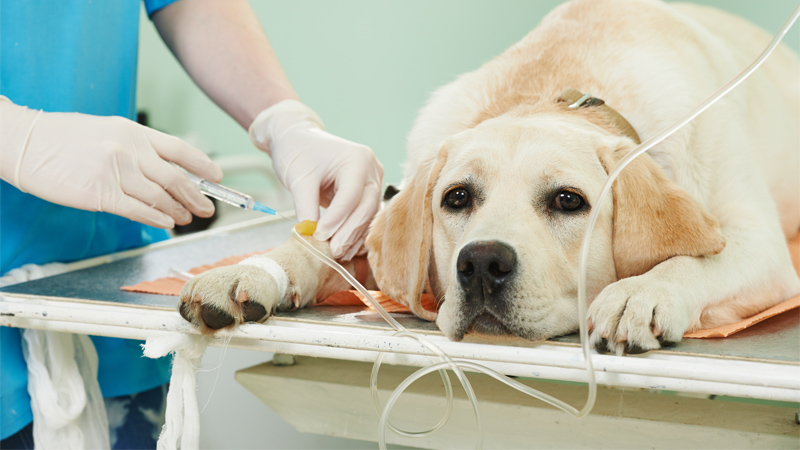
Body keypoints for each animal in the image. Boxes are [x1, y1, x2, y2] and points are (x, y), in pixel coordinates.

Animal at [180, 0, 800, 356]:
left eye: (569, 201)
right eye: (456, 198)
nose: (480, 264)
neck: (555, 89)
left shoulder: (765, 249)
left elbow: (694, 259)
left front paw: (641, 293)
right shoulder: (377, 220)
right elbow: (322, 247)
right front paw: (250, 271)